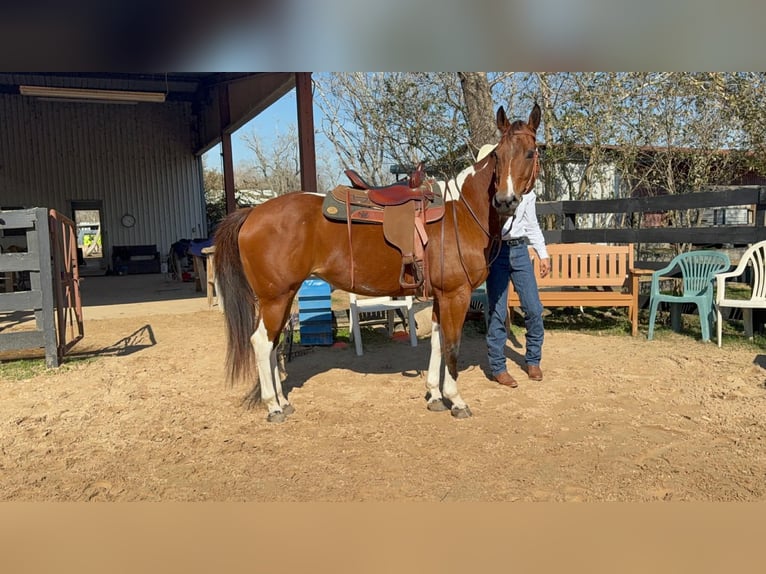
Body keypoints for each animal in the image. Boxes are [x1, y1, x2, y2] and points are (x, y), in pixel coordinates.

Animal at [213, 103, 541, 422]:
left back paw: (283, 401)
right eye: (498, 155)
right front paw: (456, 400)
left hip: (281, 297)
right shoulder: (456, 295)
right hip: (275, 297)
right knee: (261, 342)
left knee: (274, 344)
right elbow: (452, 345)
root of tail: (252, 213)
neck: (461, 212)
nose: (505, 200)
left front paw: (435, 395)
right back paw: (273, 407)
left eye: (530, 152)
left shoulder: (441, 296)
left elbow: (437, 342)